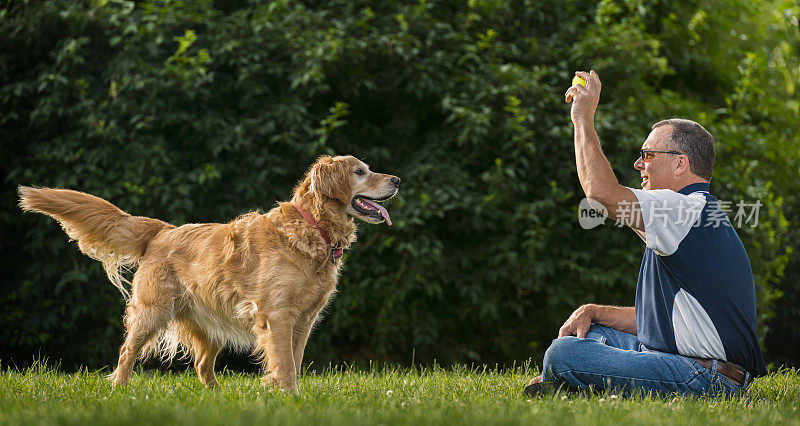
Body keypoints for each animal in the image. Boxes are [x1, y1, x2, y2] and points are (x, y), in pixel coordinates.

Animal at [20, 154, 400, 392]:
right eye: (360, 172)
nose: (397, 179)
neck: (312, 229)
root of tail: (162, 230)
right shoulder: (278, 314)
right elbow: (286, 362)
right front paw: (290, 396)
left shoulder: (304, 319)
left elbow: (293, 359)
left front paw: (288, 395)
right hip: (152, 312)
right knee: (127, 353)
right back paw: (120, 389)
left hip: (212, 321)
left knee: (203, 366)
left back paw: (219, 400)